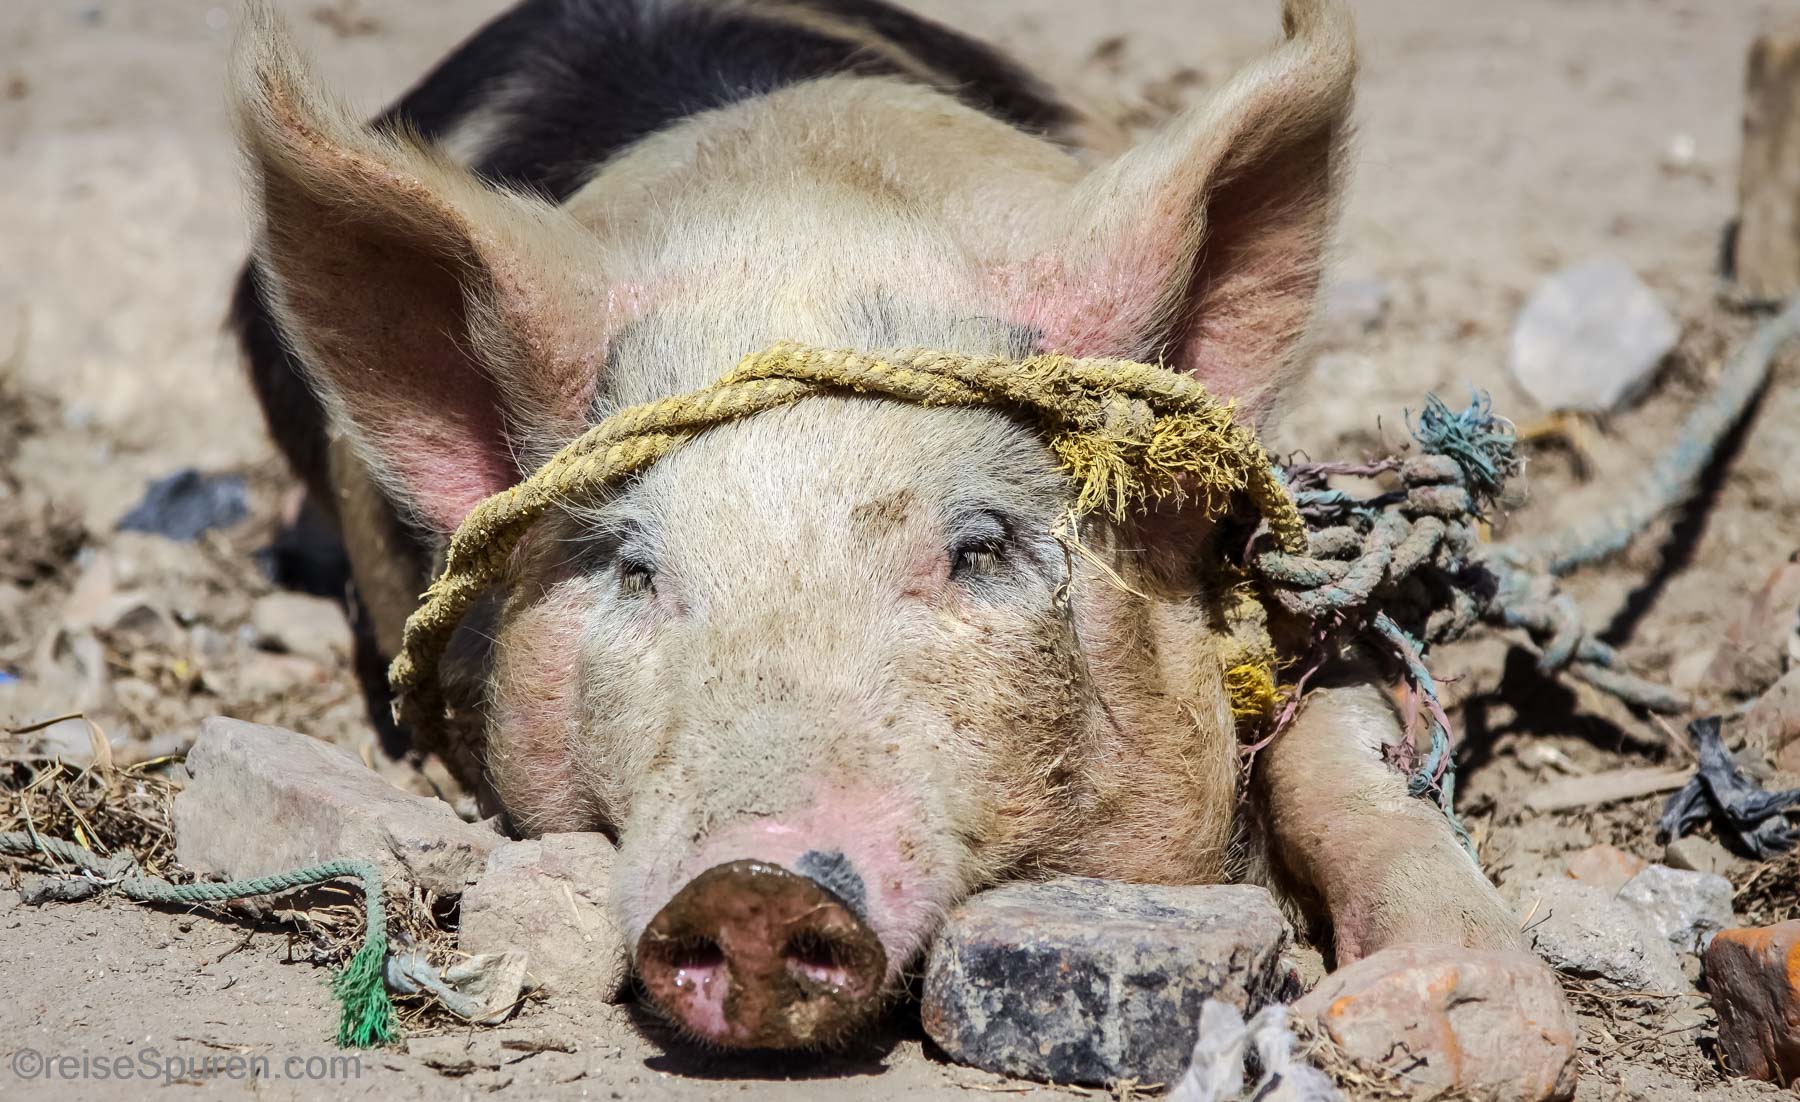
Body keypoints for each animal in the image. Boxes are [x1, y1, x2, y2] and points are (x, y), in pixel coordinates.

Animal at [230, 0, 1543, 1051]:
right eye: (638, 569)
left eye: (981, 546)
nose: (750, 883)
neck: (797, 198)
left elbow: (1343, 727)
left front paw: (1456, 1022)